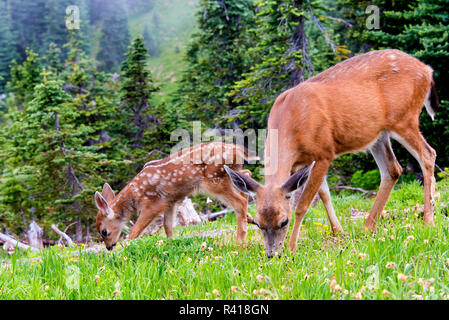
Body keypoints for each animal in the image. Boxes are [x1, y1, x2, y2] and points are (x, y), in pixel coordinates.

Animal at [93, 142, 258, 250]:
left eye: (104, 231)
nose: (109, 247)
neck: (134, 196)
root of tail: (239, 149)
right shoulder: (170, 202)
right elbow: (167, 226)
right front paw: (169, 243)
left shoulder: (153, 204)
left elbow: (135, 230)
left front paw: (125, 247)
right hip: (229, 174)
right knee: (247, 175)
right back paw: (250, 219)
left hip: (215, 180)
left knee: (239, 201)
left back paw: (239, 242)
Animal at [224, 48, 438, 258]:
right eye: (258, 223)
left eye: (284, 221)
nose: (272, 255)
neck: (291, 124)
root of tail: (427, 70)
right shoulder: (304, 163)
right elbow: (325, 194)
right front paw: (338, 233)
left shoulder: (324, 152)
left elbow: (303, 205)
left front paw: (292, 248)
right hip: (379, 135)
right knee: (393, 169)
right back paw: (367, 227)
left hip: (404, 118)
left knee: (428, 154)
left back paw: (428, 220)